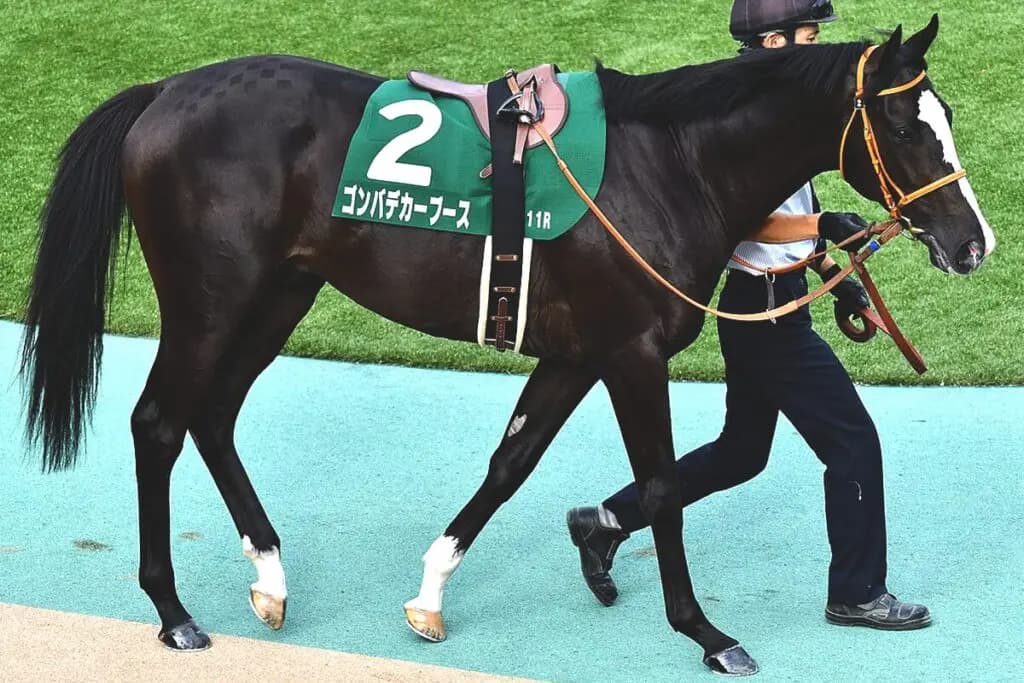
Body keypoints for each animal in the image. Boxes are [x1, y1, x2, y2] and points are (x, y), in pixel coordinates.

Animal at [21, 14, 992, 675]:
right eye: (906, 127)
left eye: (944, 116)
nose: (973, 242)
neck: (669, 164)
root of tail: (160, 93)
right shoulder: (632, 352)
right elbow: (665, 486)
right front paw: (707, 633)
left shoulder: (574, 353)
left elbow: (510, 464)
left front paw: (430, 595)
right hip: (209, 302)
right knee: (159, 420)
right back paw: (172, 608)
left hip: (282, 294)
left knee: (214, 414)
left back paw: (271, 575)